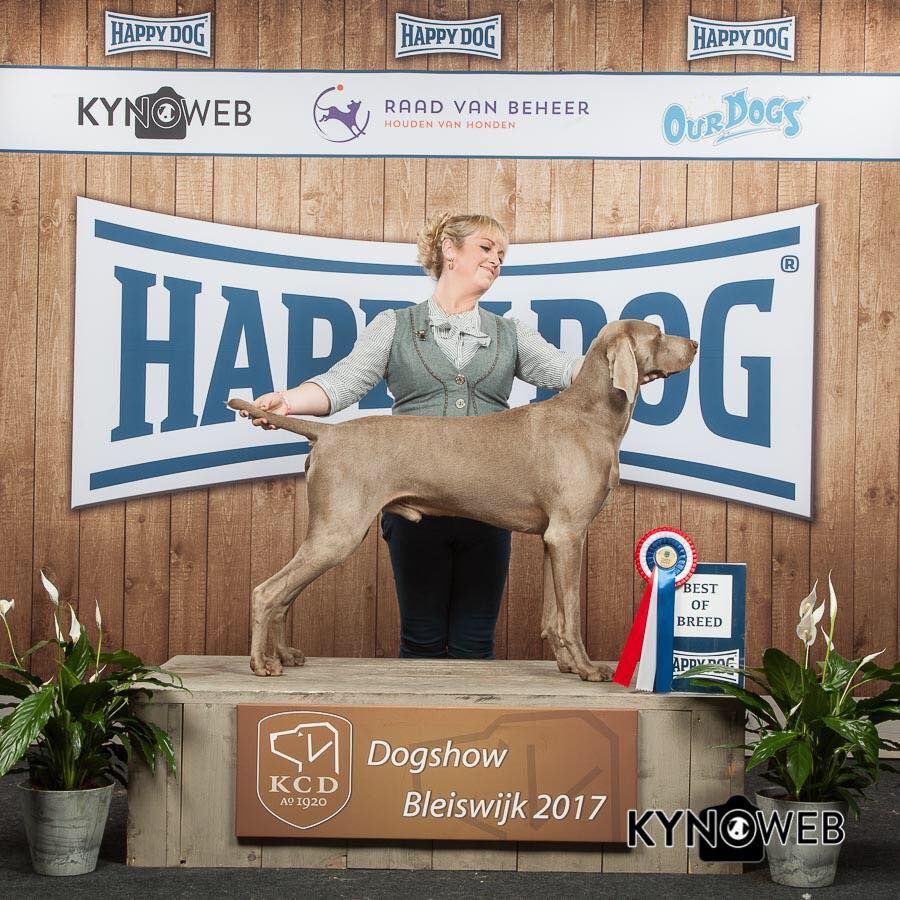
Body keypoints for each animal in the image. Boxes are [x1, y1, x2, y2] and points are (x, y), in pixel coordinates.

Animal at [229, 319, 698, 681]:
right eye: (658, 333)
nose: (695, 344)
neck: (589, 415)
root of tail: (327, 433)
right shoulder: (569, 534)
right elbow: (571, 614)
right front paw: (586, 669)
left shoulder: (554, 538)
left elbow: (553, 615)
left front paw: (566, 665)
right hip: (338, 531)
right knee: (267, 592)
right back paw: (261, 664)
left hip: (331, 532)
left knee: (284, 596)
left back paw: (282, 655)